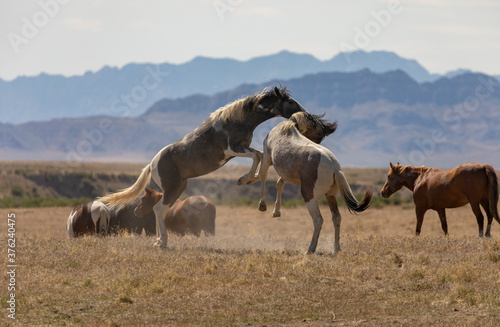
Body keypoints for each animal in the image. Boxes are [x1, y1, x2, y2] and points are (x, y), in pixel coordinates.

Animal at [99, 87, 306, 249]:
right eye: (289, 101)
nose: (304, 113)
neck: (236, 120)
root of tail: (152, 164)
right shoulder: (232, 149)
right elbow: (257, 155)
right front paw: (245, 179)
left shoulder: (240, 149)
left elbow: (259, 155)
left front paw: (247, 179)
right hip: (172, 188)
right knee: (158, 209)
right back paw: (163, 242)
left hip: (177, 188)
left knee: (160, 210)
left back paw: (159, 241)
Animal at [258, 112, 372, 254]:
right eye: (319, 134)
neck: (287, 128)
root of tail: (335, 169)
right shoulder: (285, 173)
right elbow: (279, 184)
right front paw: (276, 211)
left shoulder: (267, 158)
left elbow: (263, 175)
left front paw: (262, 205)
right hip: (331, 196)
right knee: (336, 218)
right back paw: (336, 248)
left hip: (310, 197)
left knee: (318, 220)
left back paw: (310, 249)